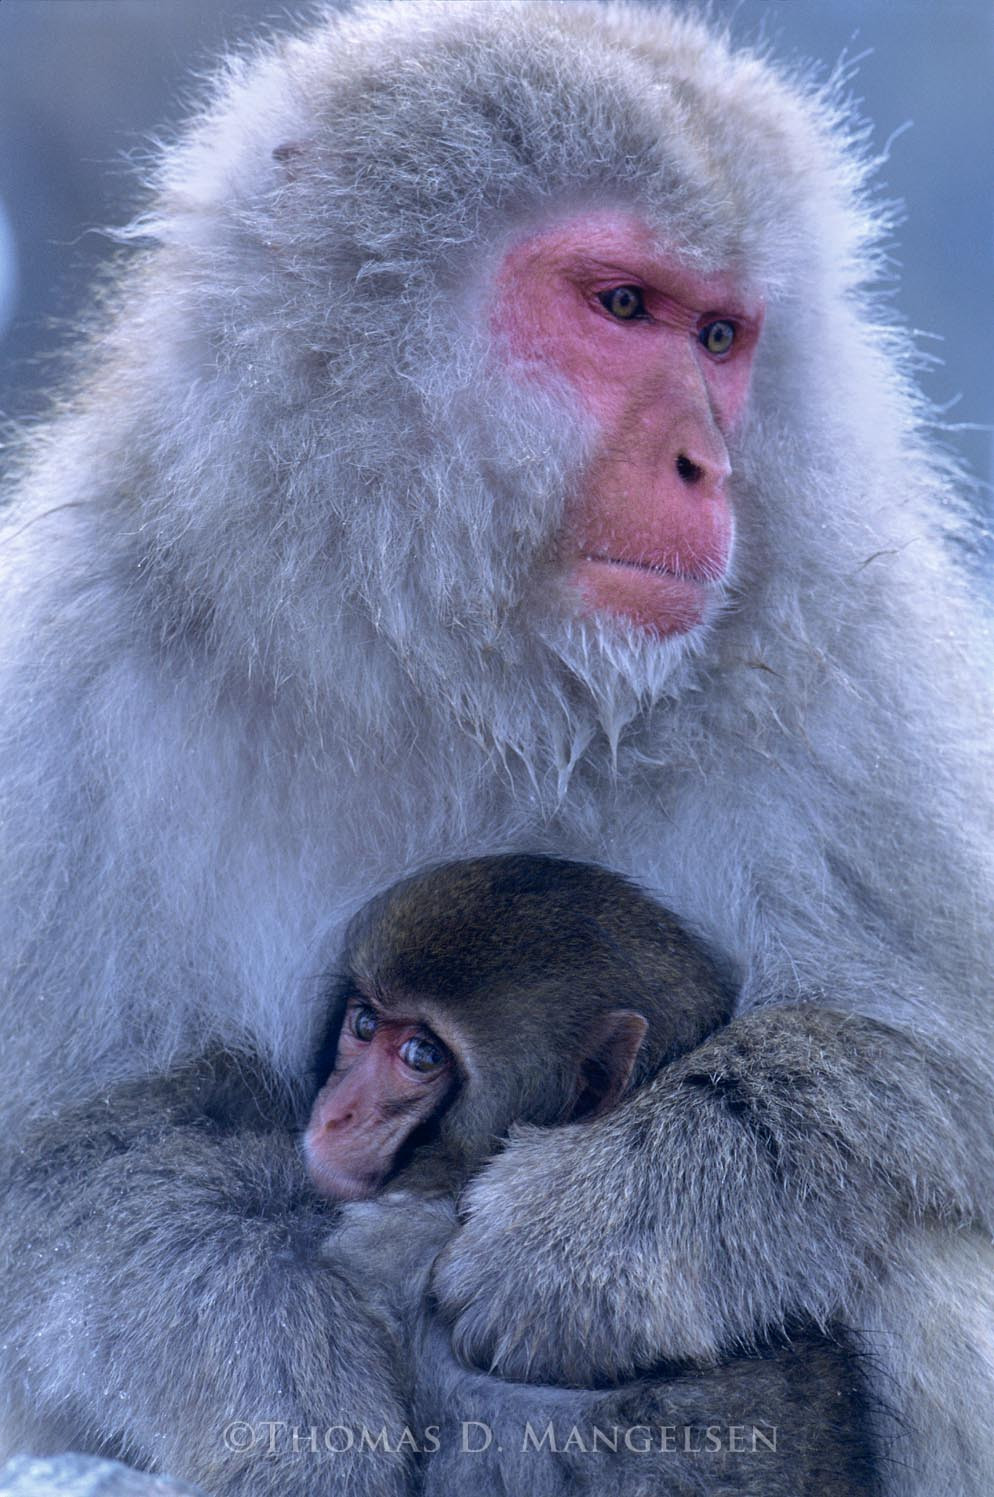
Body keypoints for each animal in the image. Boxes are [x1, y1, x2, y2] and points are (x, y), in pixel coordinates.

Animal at [0, 2, 992, 1495]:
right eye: (620, 306)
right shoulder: (55, 687)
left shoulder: (861, 666)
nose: (709, 463)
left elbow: (942, 1074)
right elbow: (67, 1162)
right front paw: (278, 1373)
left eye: (720, 335)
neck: (460, 668)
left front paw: (608, 1225)